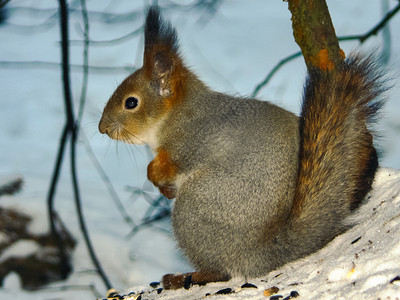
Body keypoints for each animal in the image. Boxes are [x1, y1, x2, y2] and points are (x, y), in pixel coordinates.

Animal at [98, 6, 386, 288]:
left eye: (131, 103)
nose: (102, 128)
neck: (176, 114)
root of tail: (260, 252)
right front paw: (164, 188)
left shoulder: (193, 142)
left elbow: (165, 166)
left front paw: (158, 179)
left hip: (195, 210)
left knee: (221, 271)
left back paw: (187, 277)